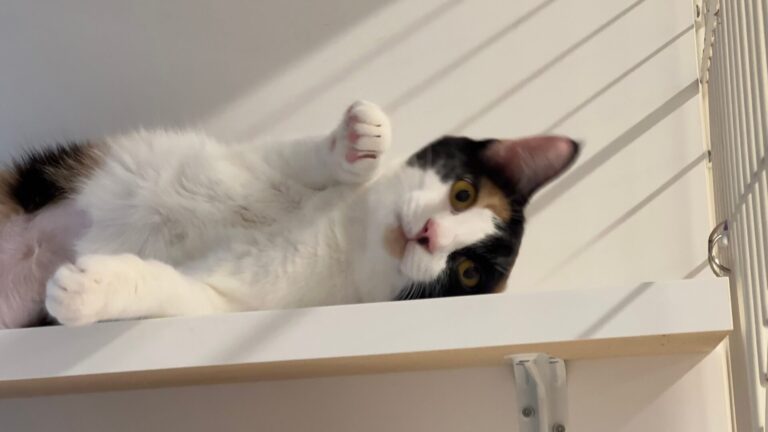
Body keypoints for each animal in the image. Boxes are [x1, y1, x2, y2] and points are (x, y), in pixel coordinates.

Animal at [0, 100, 578, 328]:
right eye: (463, 194)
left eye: (467, 273)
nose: (431, 234)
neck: (341, 236)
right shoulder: (258, 162)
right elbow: (302, 157)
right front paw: (359, 142)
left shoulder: (226, 303)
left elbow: (172, 291)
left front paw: (93, 287)